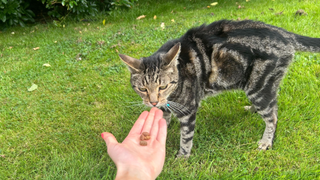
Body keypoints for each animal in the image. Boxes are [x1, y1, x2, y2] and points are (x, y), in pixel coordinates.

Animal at [118, 19, 320, 158]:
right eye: (142, 89)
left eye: (163, 86)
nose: (152, 102)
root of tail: (285, 34)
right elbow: (164, 119)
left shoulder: (187, 110)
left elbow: (186, 137)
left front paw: (182, 157)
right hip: (262, 87)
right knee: (273, 105)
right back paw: (252, 110)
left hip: (259, 87)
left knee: (273, 117)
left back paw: (266, 141)